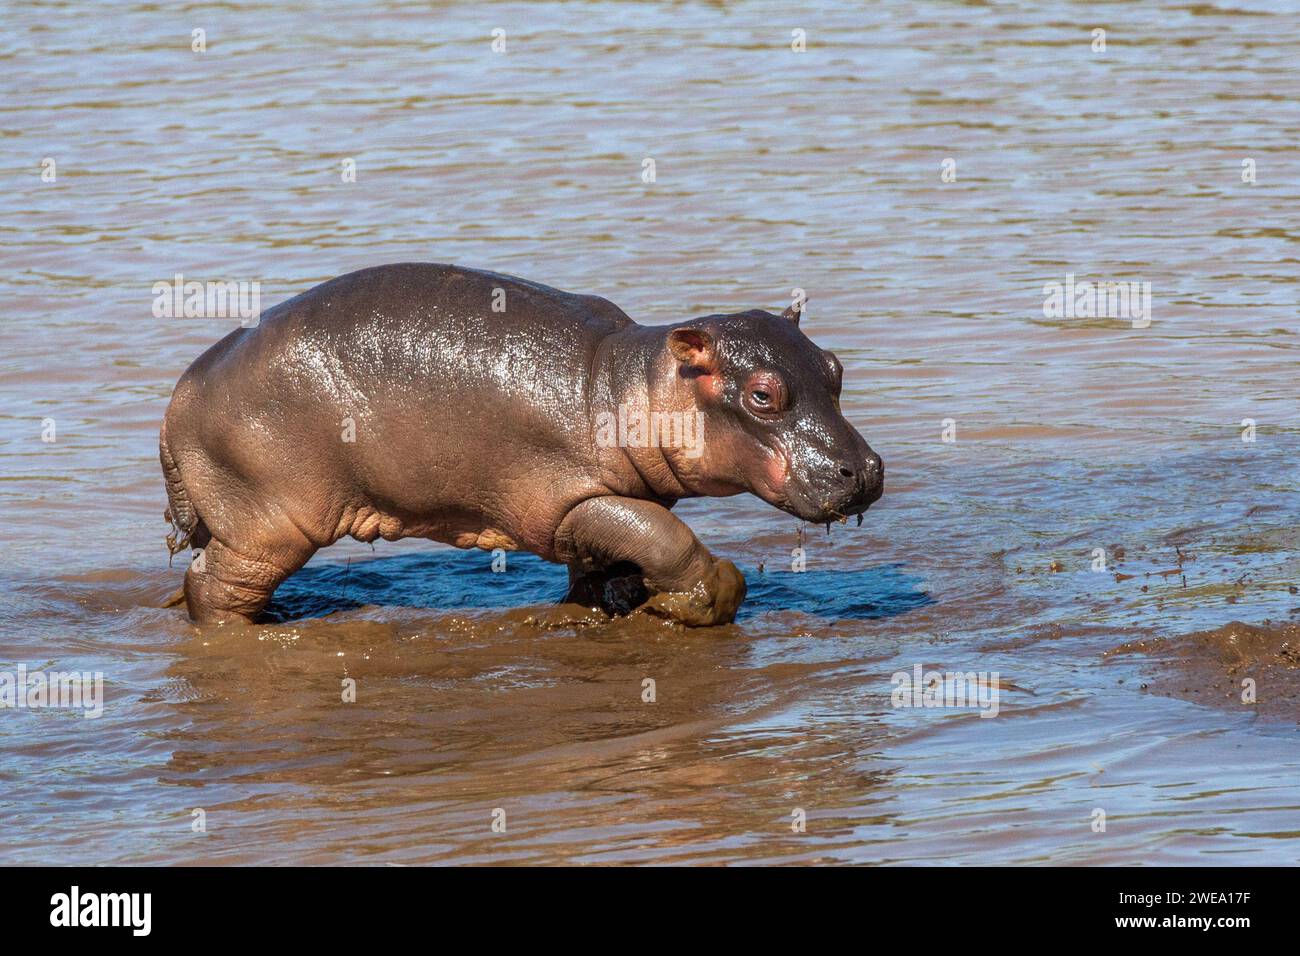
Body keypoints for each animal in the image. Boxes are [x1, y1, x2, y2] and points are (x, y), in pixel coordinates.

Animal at [160, 264, 883, 626]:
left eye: (836, 367)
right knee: (215, 588)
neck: (629, 382)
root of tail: (181, 395)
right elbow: (668, 543)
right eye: (762, 394)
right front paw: (704, 598)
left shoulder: (610, 503)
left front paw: (606, 608)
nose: (867, 469)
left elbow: (615, 557)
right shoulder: (572, 498)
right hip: (269, 523)